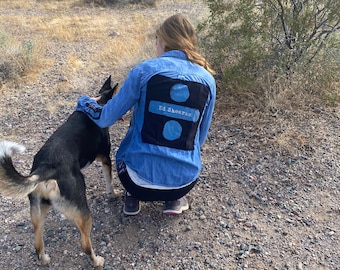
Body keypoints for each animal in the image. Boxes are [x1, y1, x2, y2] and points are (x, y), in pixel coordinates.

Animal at [0, 76, 119, 268]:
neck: (98, 104)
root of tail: (45, 168)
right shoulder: (105, 158)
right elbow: (109, 181)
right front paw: (113, 194)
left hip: (38, 212)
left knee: (37, 244)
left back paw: (44, 259)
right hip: (82, 212)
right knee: (85, 245)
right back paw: (97, 261)